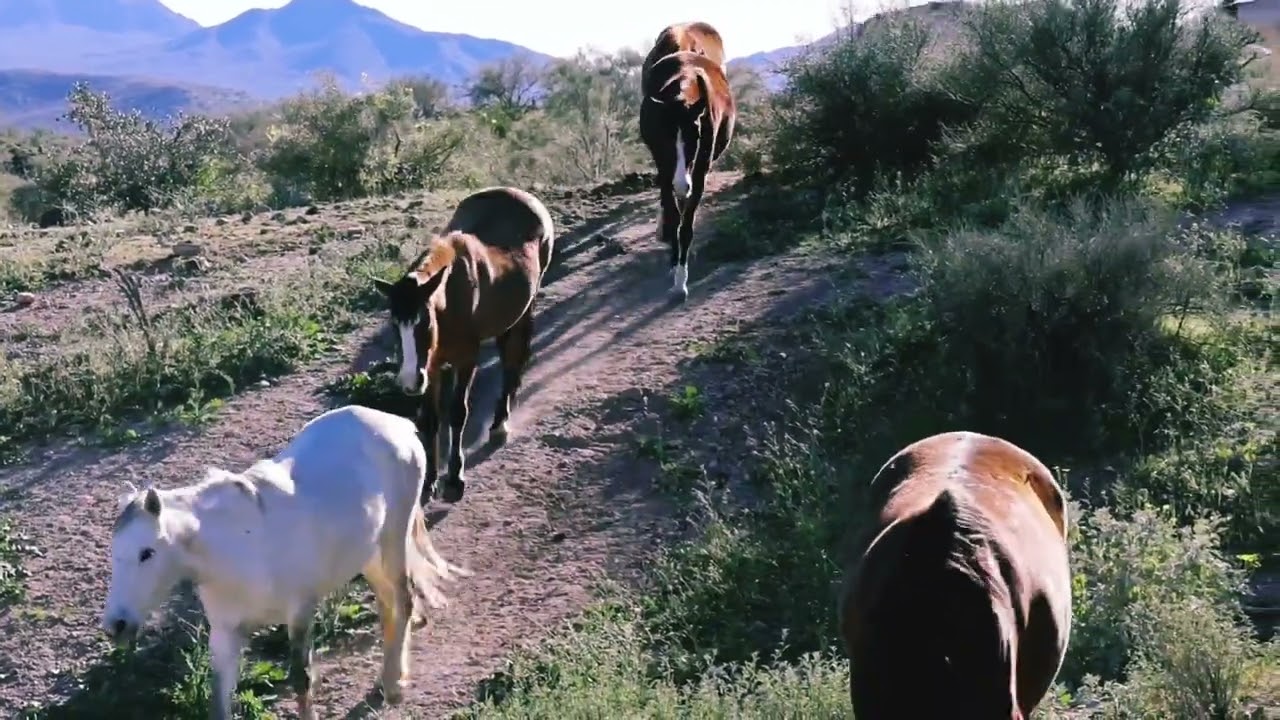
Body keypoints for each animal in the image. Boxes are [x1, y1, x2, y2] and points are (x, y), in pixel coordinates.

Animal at [100, 405, 471, 720]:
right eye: (115, 552)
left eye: (146, 552)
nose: (116, 624)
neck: (235, 550)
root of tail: (398, 424)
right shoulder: (226, 634)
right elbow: (219, 699)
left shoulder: (300, 614)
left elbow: (301, 679)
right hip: (367, 551)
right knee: (386, 602)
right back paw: (388, 678)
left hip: (394, 536)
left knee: (403, 598)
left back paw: (393, 685)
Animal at [373, 186, 554, 505]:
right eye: (395, 326)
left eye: (425, 323)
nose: (408, 382)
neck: (451, 295)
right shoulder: (430, 367)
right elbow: (431, 420)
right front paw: (429, 482)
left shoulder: (465, 359)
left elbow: (458, 414)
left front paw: (455, 480)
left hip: (524, 311)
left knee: (511, 362)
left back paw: (499, 424)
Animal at [640, 37, 736, 301]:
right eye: (664, 139)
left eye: (697, 136)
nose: (682, 184)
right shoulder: (664, 168)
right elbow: (674, 218)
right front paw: (675, 268)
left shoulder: (700, 170)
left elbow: (686, 225)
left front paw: (681, 281)